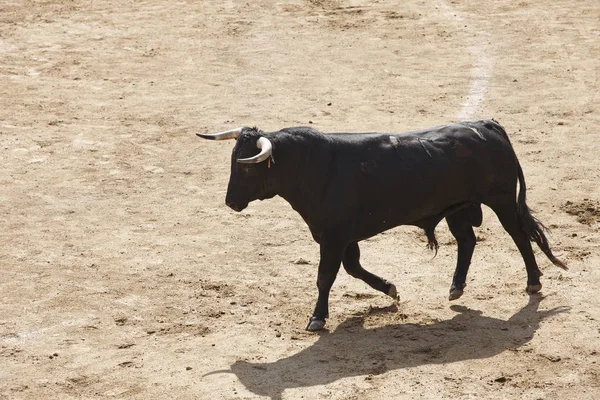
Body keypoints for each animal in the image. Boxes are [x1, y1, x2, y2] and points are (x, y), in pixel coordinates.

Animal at [197, 119, 568, 332]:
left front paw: (317, 318)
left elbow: (325, 276)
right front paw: (390, 288)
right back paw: (456, 287)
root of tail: (488, 125)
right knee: (467, 240)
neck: (312, 167)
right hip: (458, 207)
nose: (231, 202)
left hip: (501, 199)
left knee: (518, 235)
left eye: (246, 167)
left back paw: (533, 282)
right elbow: (353, 268)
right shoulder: (342, 237)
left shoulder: (333, 237)